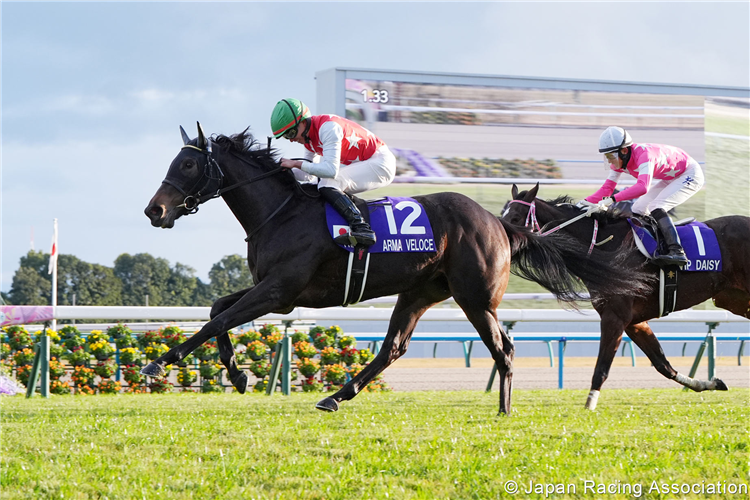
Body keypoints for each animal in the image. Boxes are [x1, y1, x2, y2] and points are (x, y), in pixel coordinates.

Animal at [144, 124, 656, 414]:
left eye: (187, 164)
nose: (154, 210)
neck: (282, 212)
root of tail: (499, 223)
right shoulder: (275, 292)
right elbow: (218, 311)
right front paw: (235, 375)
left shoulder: (281, 291)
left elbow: (219, 319)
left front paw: (160, 361)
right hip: (419, 291)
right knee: (393, 348)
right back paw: (335, 396)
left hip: (475, 297)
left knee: (503, 347)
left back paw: (505, 409)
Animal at [506, 184, 750, 410]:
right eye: (503, 215)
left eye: (515, 217)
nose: (502, 243)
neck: (606, 246)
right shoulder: (634, 321)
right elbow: (662, 364)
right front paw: (710, 383)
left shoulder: (615, 316)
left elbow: (602, 367)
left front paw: (589, 405)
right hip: (733, 299)